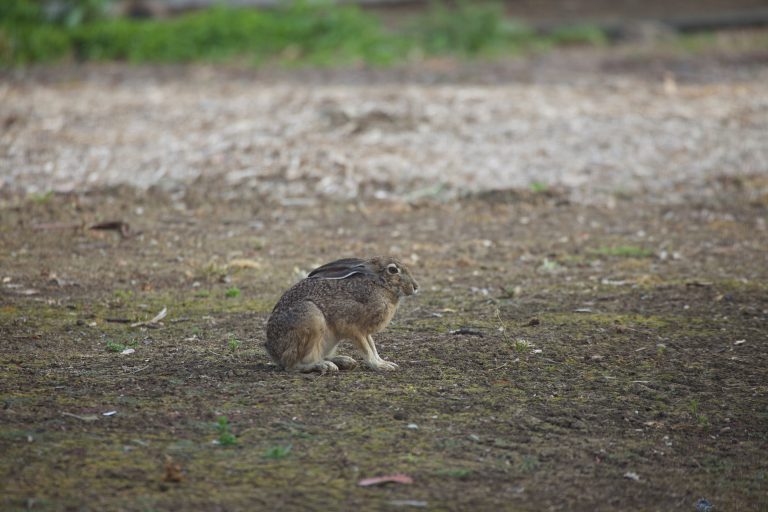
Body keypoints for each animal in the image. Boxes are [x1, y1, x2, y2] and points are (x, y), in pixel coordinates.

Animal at [265, 256, 419, 373]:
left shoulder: (365, 331)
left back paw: (344, 360)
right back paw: (324, 365)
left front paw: (385, 363)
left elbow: (372, 347)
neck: (379, 285)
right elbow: (367, 349)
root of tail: (273, 351)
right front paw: (379, 366)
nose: (415, 287)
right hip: (311, 317)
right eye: (393, 270)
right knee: (292, 365)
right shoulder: (352, 327)